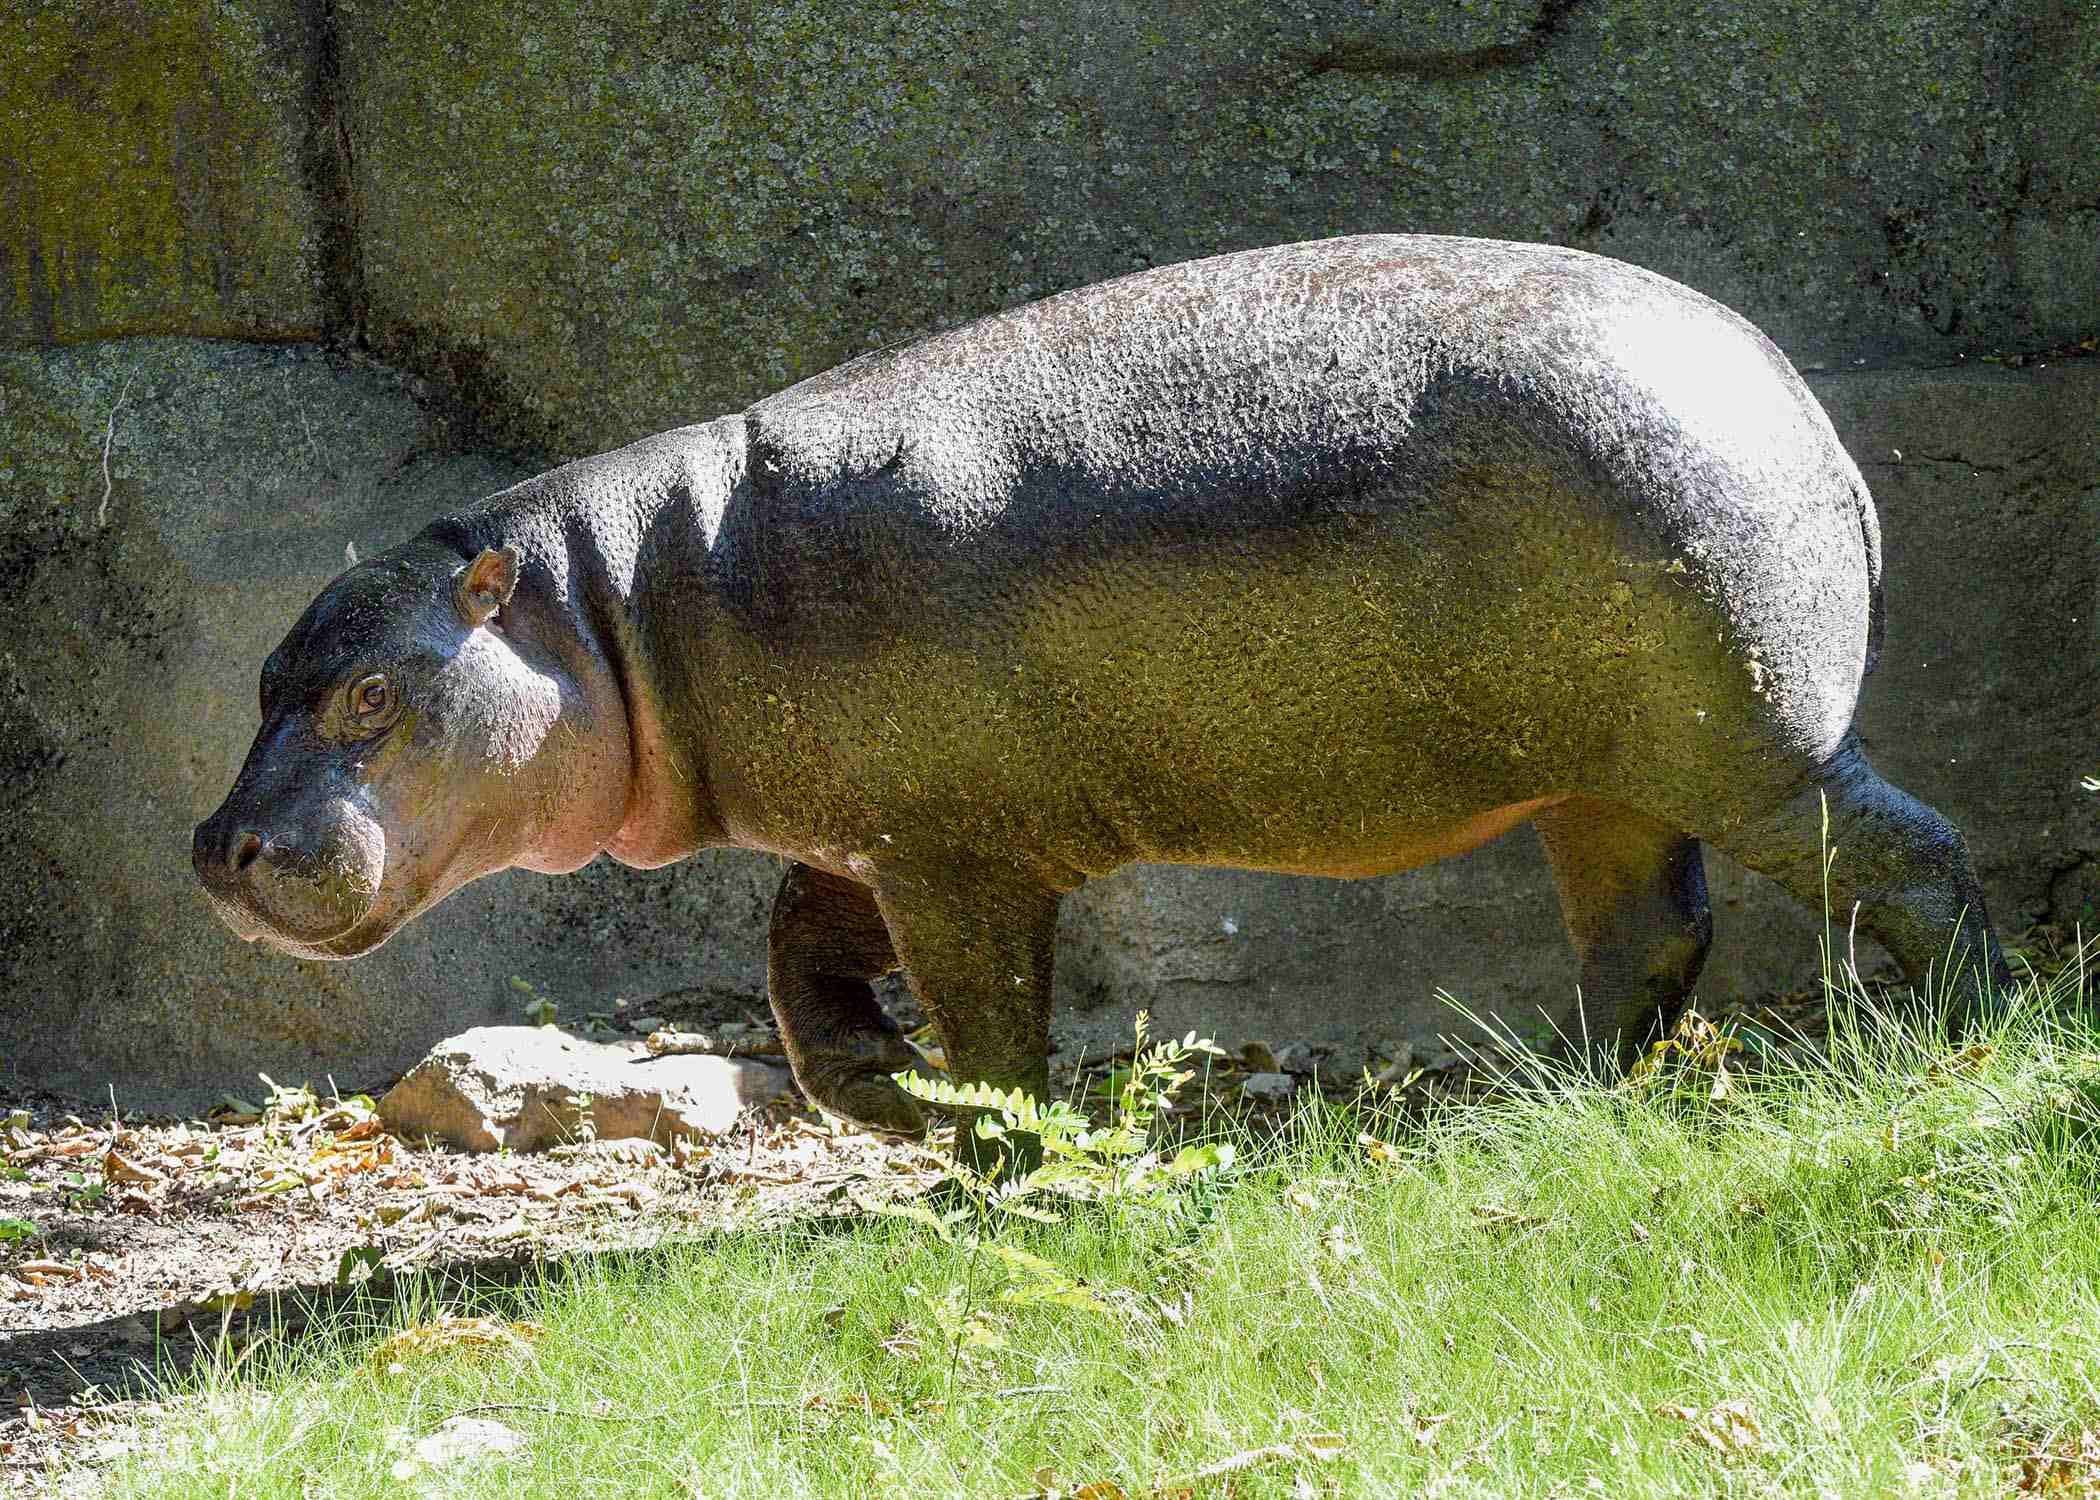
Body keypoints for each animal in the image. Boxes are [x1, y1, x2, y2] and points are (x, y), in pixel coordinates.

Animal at [200, 236, 2015, 1134]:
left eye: (368, 698)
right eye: (270, 673)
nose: (217, 848)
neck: (610, 612)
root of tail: (1791, 392)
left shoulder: (959, 860)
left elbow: (993, 1018)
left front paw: (994, 1155)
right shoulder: (875, 829)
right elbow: (798, 960)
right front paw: (876, 1092)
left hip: (1742, 745)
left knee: (1905, 855)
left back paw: (1977, 1034)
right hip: (1603, 769)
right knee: (1649, 928)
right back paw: (1539, 1100)